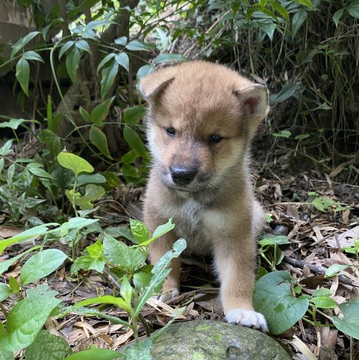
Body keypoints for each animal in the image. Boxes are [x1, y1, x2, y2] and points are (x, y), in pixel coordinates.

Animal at [141, 59, 270, 332]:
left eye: (215, 137)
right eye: (171, 130)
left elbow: (238, 279)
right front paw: (163, 292)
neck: (193, 200)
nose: (181, 174)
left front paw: (243, 311)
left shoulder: (234, 236)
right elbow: (165, 263)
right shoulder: (160, 225)